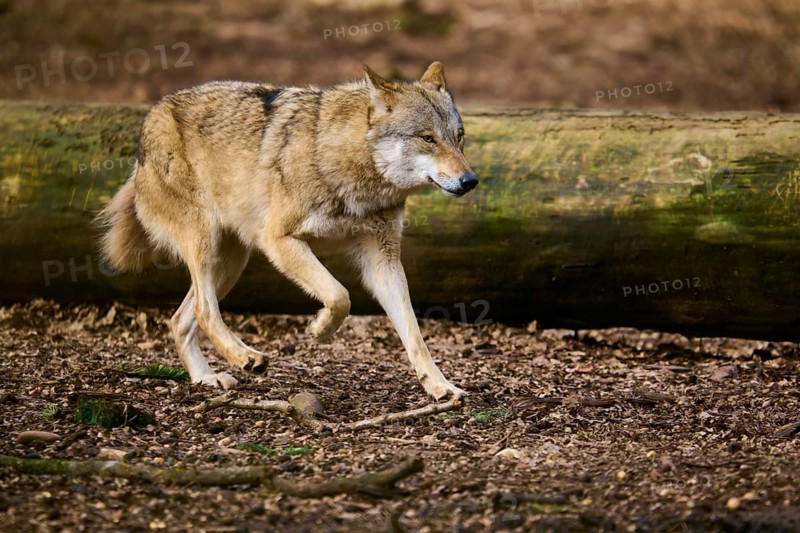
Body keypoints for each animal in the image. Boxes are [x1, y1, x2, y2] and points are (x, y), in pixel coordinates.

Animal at [96, 62, 478, 401]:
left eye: (459, 138)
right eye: (427, 138)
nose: (470, 180)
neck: (351, 165)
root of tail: (154, 112)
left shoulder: (383, 261)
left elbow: (414, 335)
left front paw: (440, 386)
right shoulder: (278, 240)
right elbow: (340, 295)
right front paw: (320, 329)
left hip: (231, 263)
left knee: (180, 320)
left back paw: (207, 378)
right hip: (208, 245)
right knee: (204, 311)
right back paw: (245, 357)